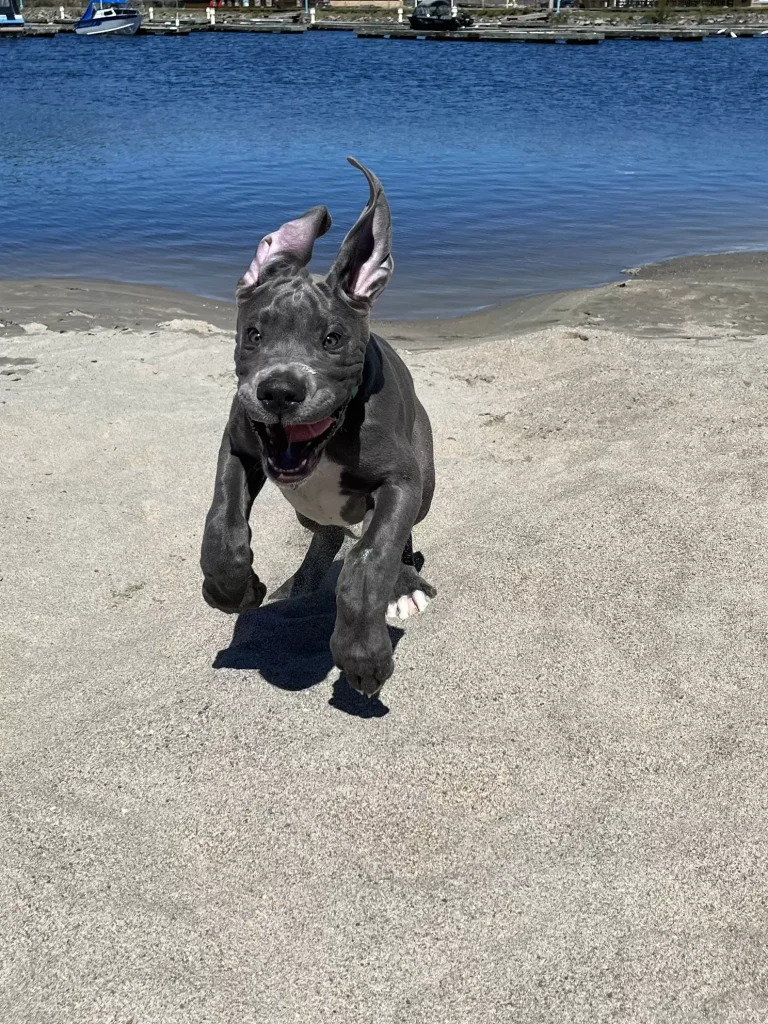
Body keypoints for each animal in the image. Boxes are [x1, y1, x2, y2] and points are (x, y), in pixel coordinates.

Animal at [201, 155, 436, 696]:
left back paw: (404, 586)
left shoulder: (400, 482)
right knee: (326, 533)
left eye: (332, 339)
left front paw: (362, 655)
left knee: (388, 539)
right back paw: (300, 583)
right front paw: (232, 590)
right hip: (310, 512)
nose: (279, 392)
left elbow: (370, 560)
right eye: (253, 334)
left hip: (425, 482)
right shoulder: (238, 448)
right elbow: (221, 525)